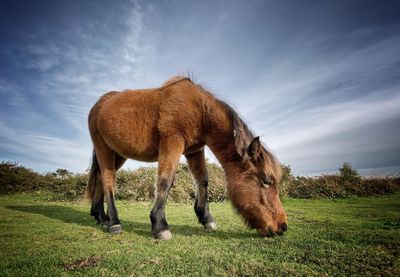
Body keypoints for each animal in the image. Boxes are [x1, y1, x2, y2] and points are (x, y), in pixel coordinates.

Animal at [87, 76, 288, 239]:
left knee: (100, 178)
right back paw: (114, 222)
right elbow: (165, 181)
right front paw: (160, 225)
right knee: (108, 179)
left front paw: (206, 218)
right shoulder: (172, 143)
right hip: (104, 149)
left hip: (117, 154)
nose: (283, 226)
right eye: (267, 181)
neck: (199, 110)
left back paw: (101, 216)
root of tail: (100, 104)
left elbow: (202, 180)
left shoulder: (194, 151)